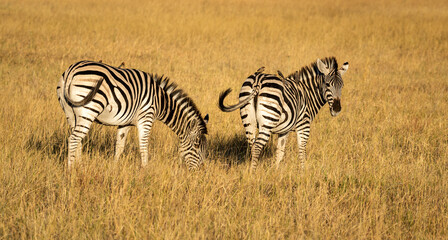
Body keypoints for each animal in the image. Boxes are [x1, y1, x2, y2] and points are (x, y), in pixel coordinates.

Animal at [57, 60, 209, 171]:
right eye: (196, 146)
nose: (201, 170)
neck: (160, 101)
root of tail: (71, 71)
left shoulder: (125, 122)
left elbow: (119, 146)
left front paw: (114, 167)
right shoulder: (146, 117)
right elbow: (143, 145)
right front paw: (145, 169)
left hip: (70, 113)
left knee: (78, 139)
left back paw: (79, 165)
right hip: (89, 109)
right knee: (74, 138)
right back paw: (71, 170)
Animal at [219, 57, 348, 172]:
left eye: (342, 86)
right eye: (327, 84)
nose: (337, 109)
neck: (308, 94)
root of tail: (258, 80)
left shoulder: (284, 130)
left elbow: (280, 152)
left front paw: (276, 172)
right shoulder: (304, 126)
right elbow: (302, 150)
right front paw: (303, 173)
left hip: (248, 120)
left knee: (252, 144)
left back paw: (252, 170)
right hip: (268, 120)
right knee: (257, 146)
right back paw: (252, 174)